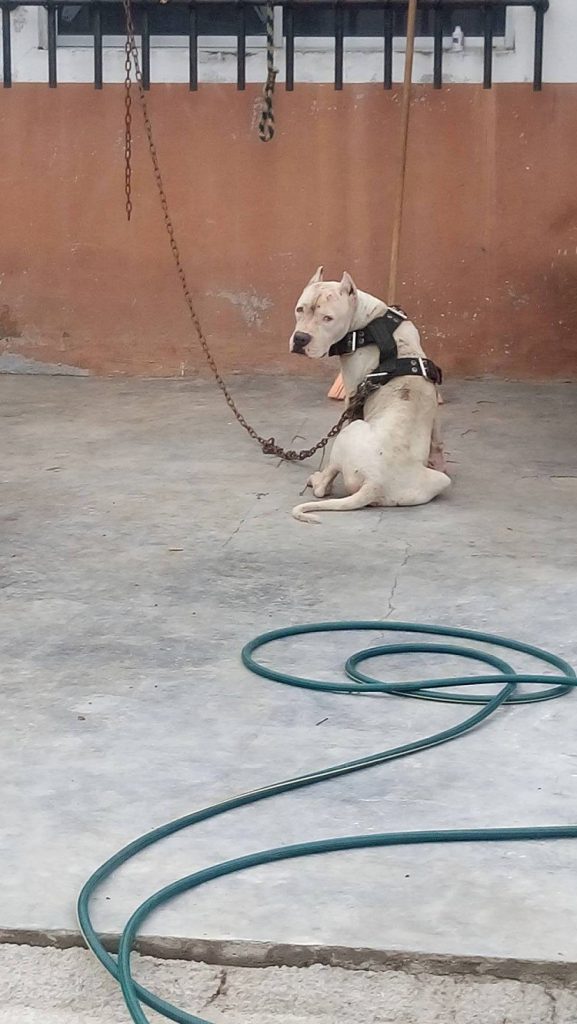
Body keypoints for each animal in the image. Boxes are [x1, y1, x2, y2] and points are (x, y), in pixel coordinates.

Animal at [289, 268, 450, 523]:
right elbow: (437, 440)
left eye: (328, 318)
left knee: (324, 484)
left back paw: (318, 479)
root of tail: (375, 484)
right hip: (439, 482)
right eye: (300, 309)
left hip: (349, 434)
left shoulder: (352, 395)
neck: (368, 322)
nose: (300, 338)